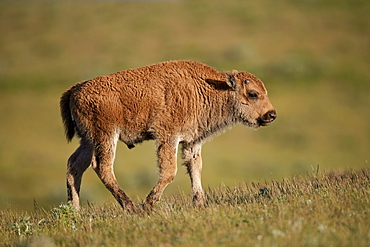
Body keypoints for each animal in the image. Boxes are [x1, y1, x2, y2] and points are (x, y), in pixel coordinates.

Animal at [60, 60, 274, 211]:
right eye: (253, 93)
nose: (271, 114)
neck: (209, 88)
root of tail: (75, 89)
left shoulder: (192, 141)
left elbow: (195, 167)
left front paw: (200, 203)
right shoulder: (168, 137)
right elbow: (169, 171)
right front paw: (148, 205)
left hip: (87, 140)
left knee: (75, 165)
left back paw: (75, 210)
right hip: (105, 136)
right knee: (102, 167)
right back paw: (131, 207)